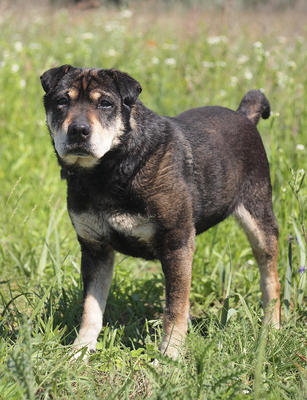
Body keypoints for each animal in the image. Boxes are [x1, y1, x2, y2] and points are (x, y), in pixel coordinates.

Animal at [41, 65, 282, 360]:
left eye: (106, 103)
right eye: (62, 101)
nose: (78, 131)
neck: (111, 170)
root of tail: (244, 115)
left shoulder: (176, 242)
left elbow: (174, 308)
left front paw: (170, 356)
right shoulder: (95, 249)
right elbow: (91, 308)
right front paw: (80, 351)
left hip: (260, 219)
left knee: (270, 279)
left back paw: (272, 331)